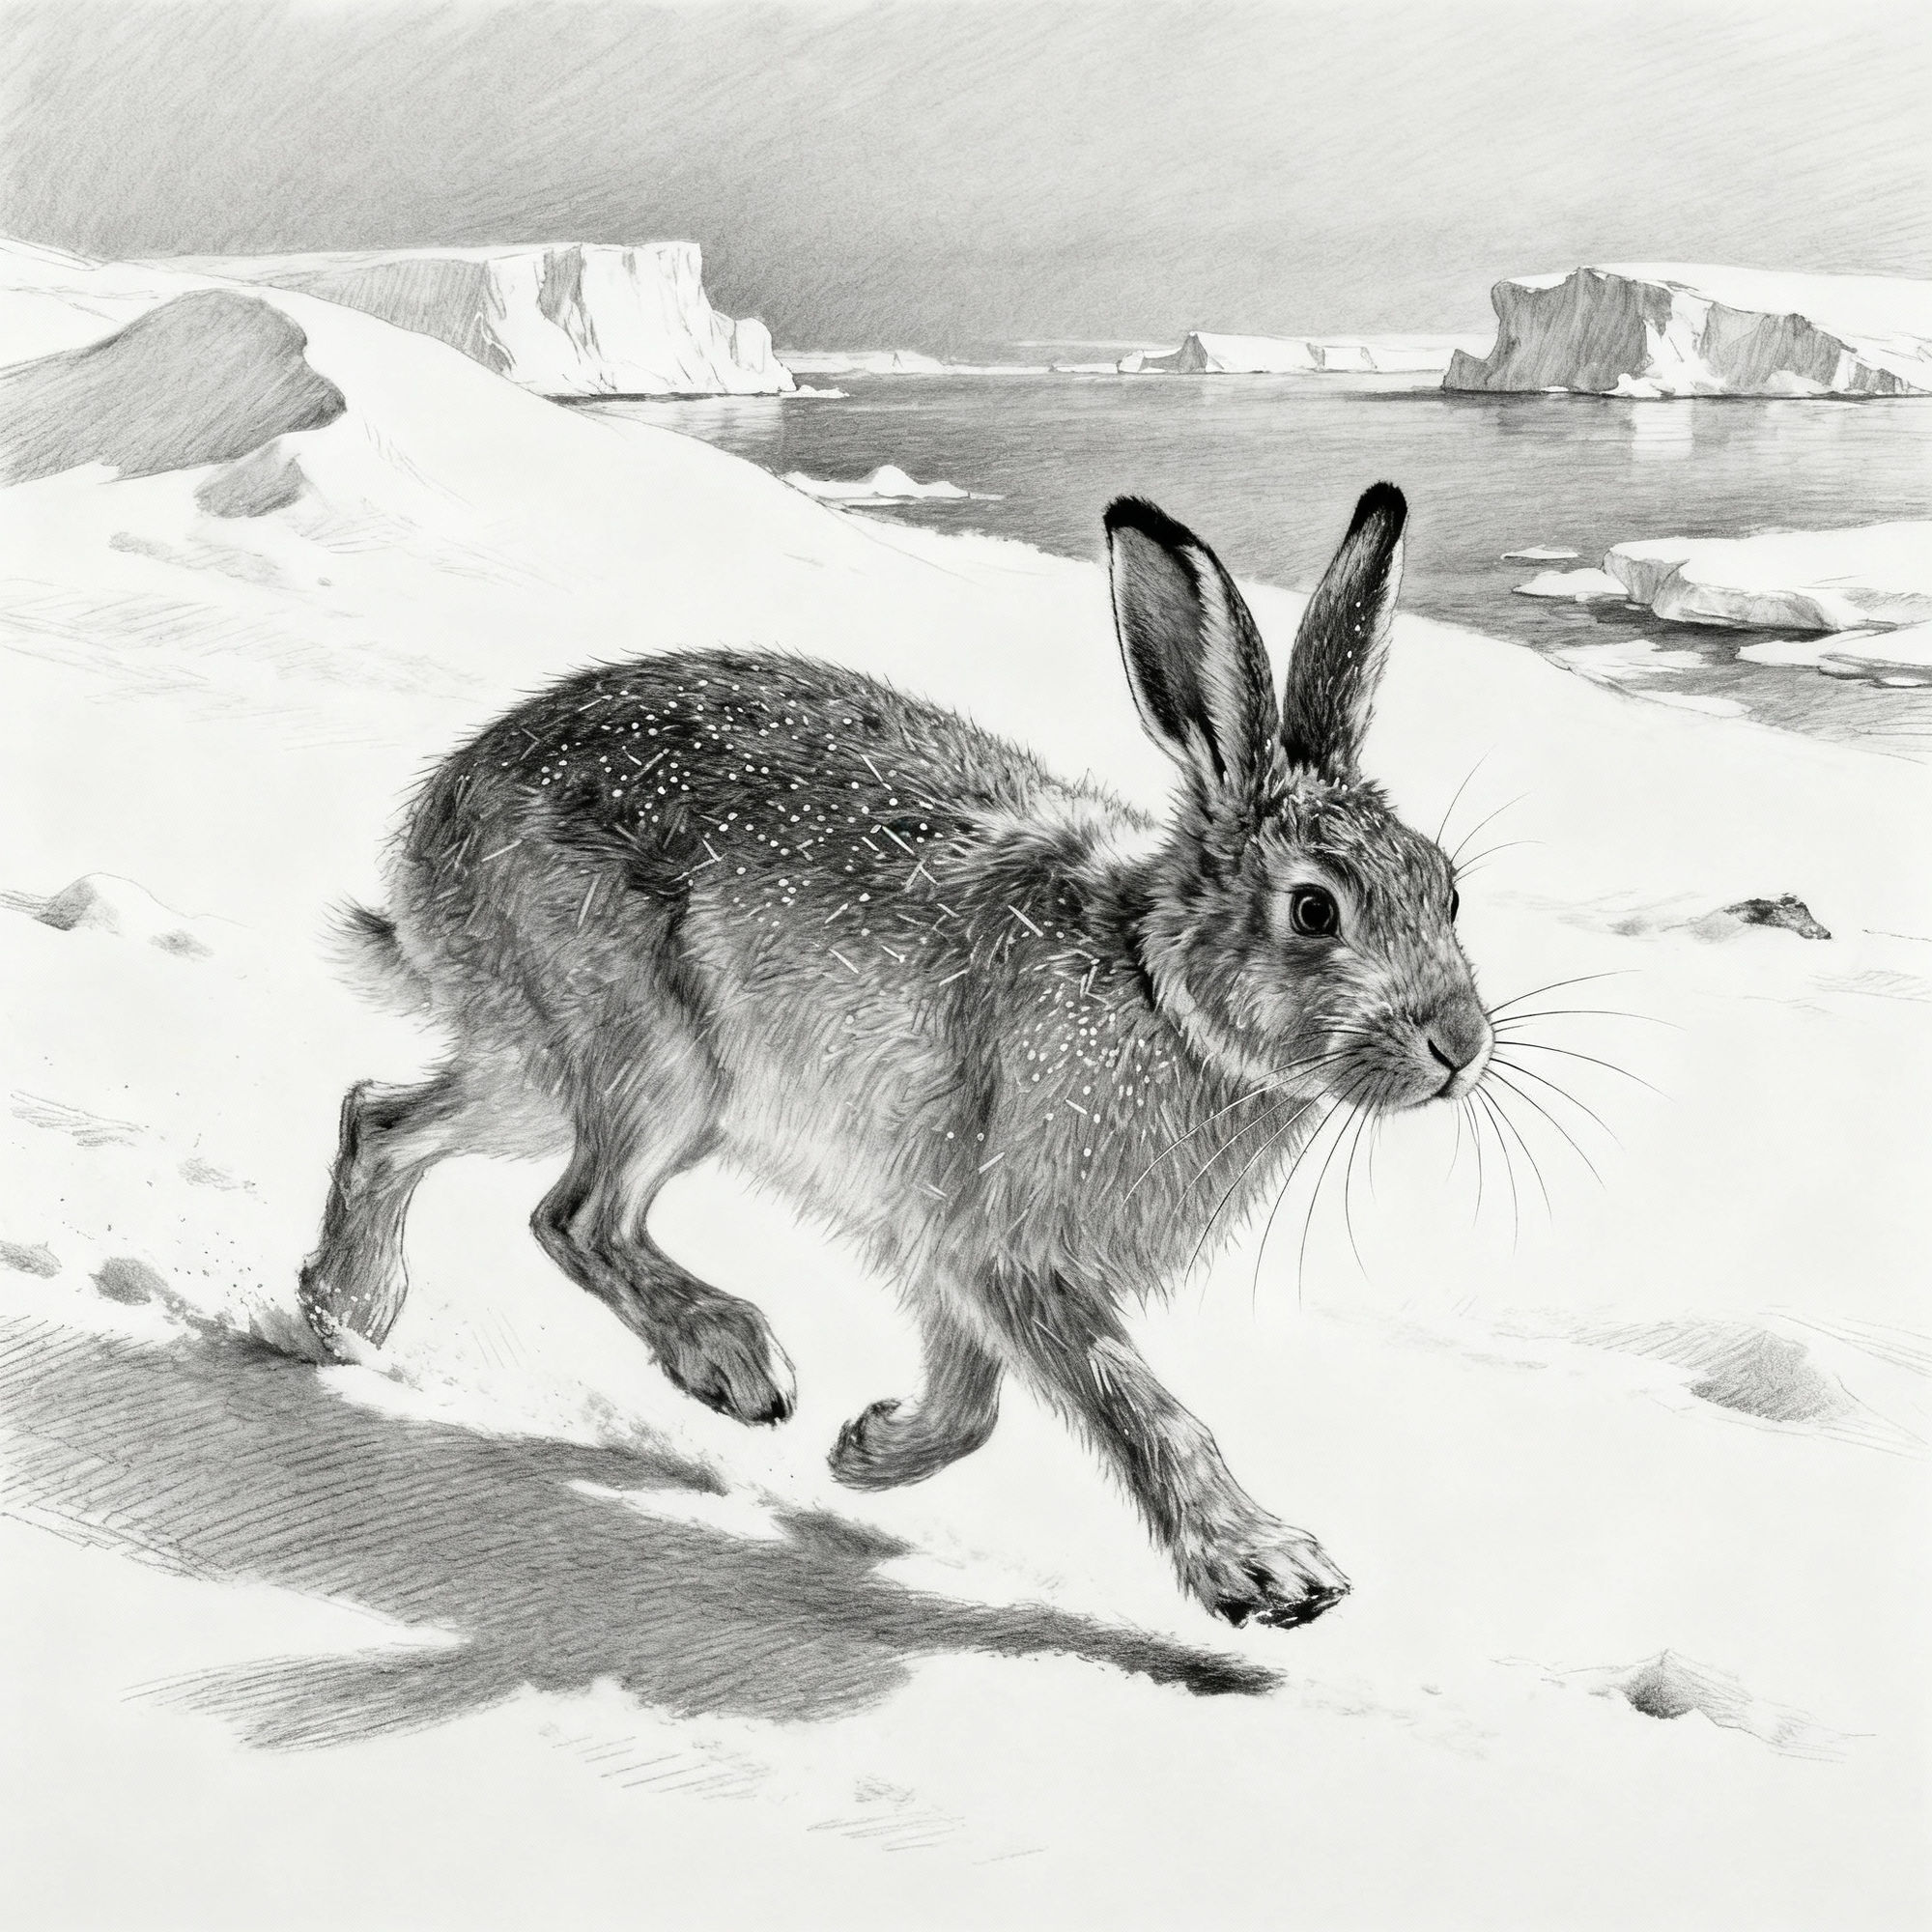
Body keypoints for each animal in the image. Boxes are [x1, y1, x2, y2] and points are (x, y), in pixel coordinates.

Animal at [299, 480, 1493, 1631]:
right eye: (1312, 909)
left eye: (1446, 890)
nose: (1460, 1045)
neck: (1153, 982)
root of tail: (434, 842)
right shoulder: (1002, 1241)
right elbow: (1130, 1403)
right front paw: (1268, 1568)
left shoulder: (945, 1240)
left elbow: (974, 1402)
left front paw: (868, 1451)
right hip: (652, 1059)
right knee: (576, 1215)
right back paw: (731, 1360)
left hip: (543, 1073)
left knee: (381, 1116)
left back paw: (346, 1319)